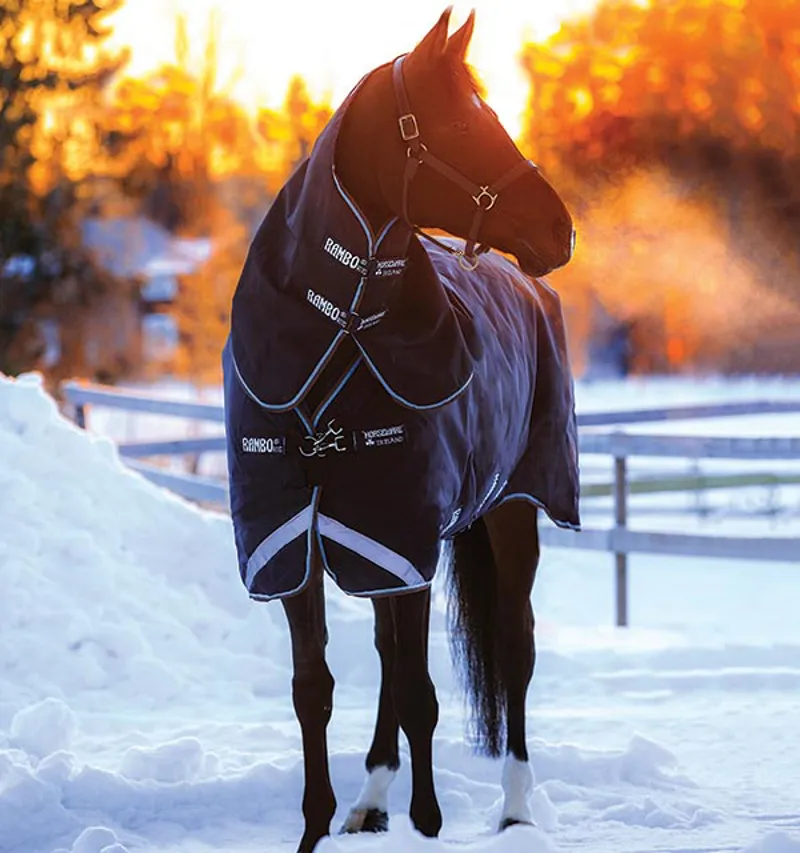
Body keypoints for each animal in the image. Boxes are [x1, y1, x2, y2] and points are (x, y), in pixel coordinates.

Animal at [222, 9, 579, 852]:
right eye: (462, 122)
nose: (562, 230)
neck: (339, 335)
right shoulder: (300, 538)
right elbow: (315, 689)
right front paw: (319, 824)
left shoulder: (403, 529)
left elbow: (421, 691)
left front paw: (429, 823)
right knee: (391, 653)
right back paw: (371, 799)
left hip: (512, 510)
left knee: (515, 647)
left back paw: (515, 807)